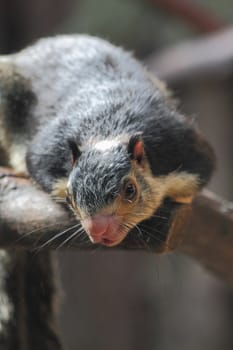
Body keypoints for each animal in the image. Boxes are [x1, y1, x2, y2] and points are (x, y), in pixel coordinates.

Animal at [0, 35, 215, 247]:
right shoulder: (48, 152)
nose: (98, 230)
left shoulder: (179, 145)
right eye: (69, 197)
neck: (108, 130)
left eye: (130, 190)